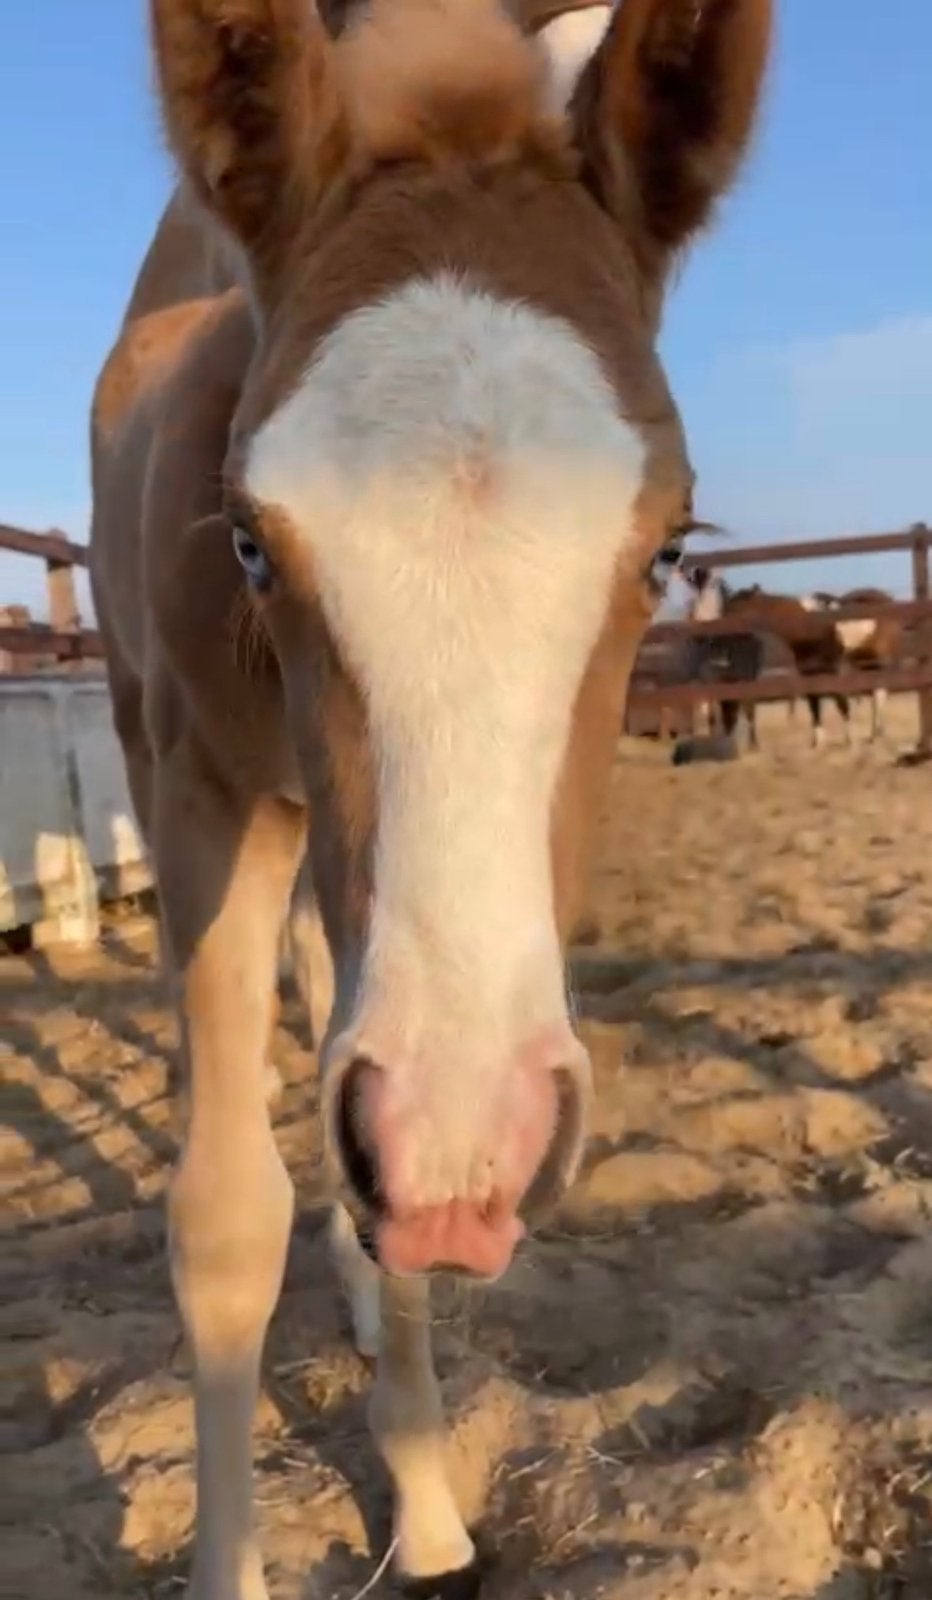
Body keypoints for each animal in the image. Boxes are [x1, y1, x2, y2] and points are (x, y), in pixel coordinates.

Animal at [88, 3, 772, 1595]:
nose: (469, 1153)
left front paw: (428, 1496)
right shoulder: (196, 789)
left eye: (668, 546)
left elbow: (363, 1158)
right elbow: (228, 1218)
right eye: (249, 539)